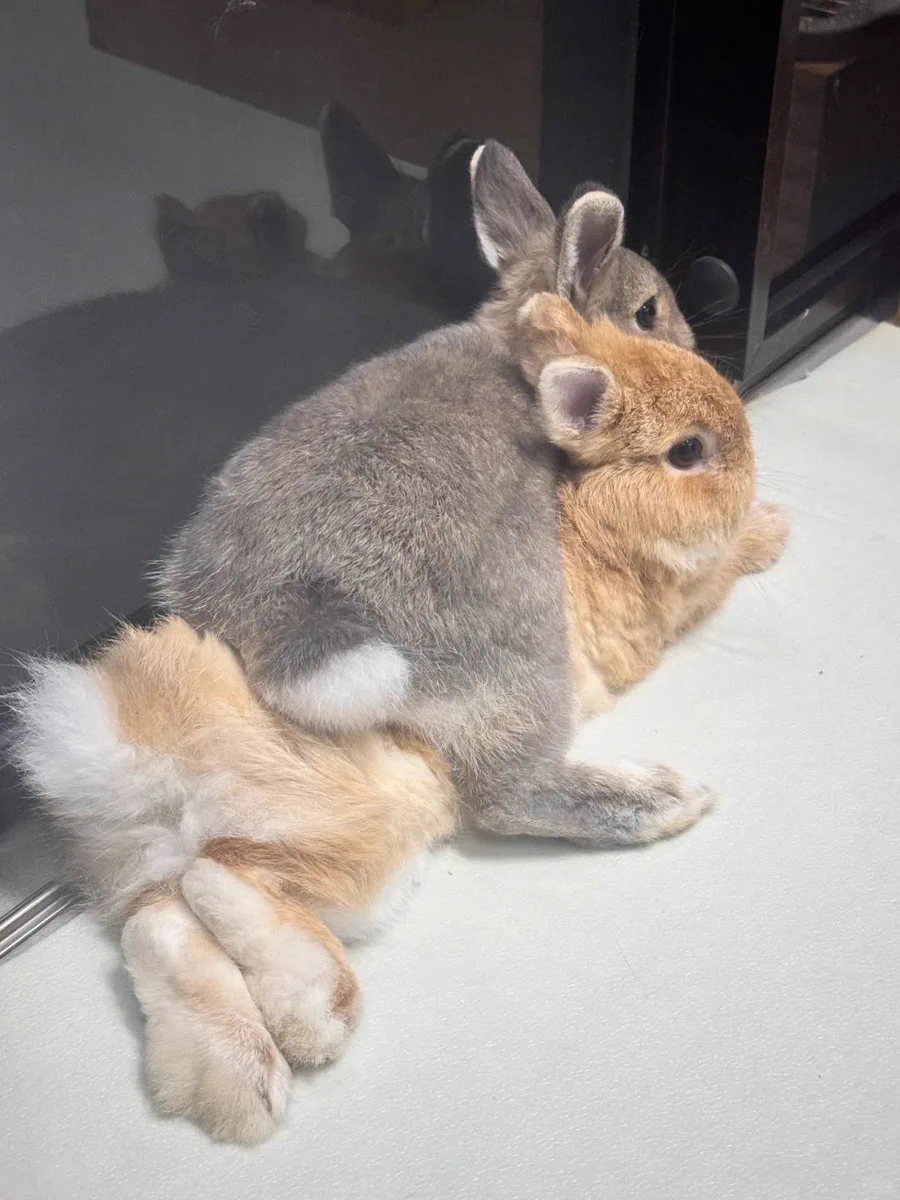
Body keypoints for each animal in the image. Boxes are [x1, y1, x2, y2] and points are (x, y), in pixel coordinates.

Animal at [11, 294, 787, 1144]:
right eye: (688, 452)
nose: (752, 460)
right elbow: (717, 572)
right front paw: (770, 528)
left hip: (345, 856)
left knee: (171, 920)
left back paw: (243, 1074)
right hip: (476, 702)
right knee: (487, 801)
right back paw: (662, 798)